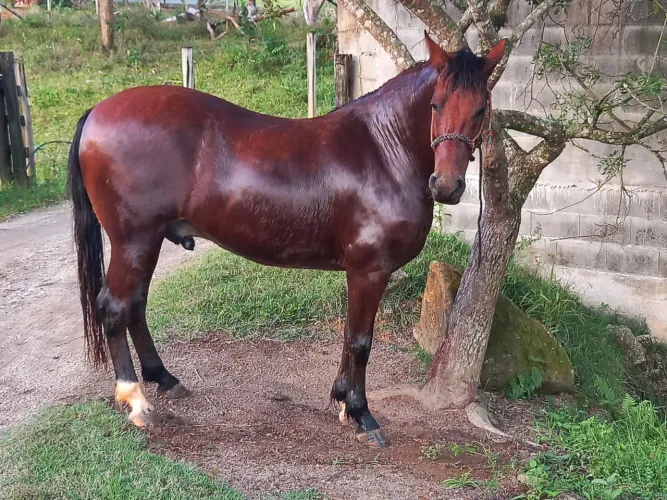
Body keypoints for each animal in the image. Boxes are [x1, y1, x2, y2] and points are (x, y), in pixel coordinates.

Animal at [68, 32, 506, 447]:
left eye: (481, 109)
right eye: (435, 105)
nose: (446, 185)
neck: (383, 149)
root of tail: (96, 112)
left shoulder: (360, 272)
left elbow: (349, 335)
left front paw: (341, 399)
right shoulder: (369, 269)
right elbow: (360, 341)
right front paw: (362, 415)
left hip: (148, 241)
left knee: (135, 305)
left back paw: (164, 379)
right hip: (134, 240)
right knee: (114, 307)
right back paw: (135, 399)